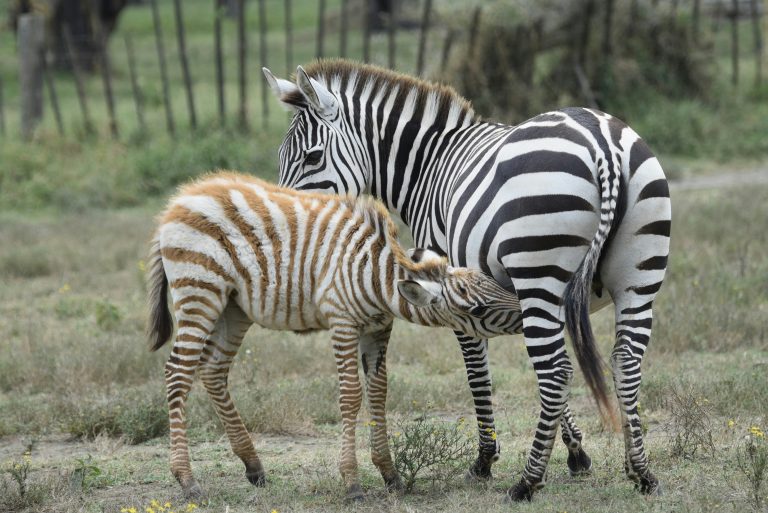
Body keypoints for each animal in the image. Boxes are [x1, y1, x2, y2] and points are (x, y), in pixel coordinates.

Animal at [146, 171, 522, 499]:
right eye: (478, 309)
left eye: (491, 284)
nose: (526, 311)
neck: (374, 276)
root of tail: (177, 203)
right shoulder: (342, 321)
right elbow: (351, 395)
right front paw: (352, 483)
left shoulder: (378, 329)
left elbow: (379, 392)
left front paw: (390, 475)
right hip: (199, 291)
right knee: (178, 373)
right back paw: (187, 480)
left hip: (233, 307)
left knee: (213, 370)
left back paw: (253, 466)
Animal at [263, 59, 672, 500]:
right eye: (282, 158)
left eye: (312, 156)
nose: (283, 224)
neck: (429, 166)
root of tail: (601, 143)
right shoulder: (518, 298)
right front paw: (577, 453)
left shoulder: (456, 293)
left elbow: (478, 375)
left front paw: (485, 461)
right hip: (636, 278)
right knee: (623, 361)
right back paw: (641, 472)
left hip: (541, 273)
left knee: (556, 370)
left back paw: (526, 482)